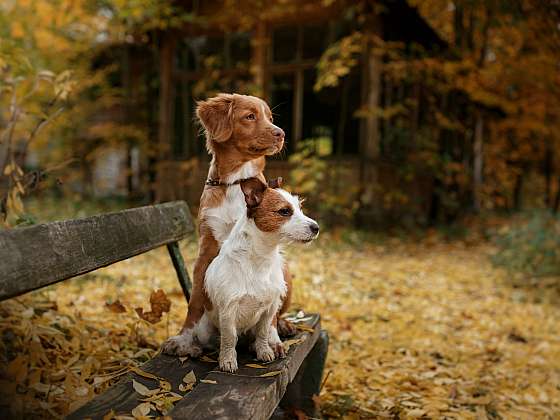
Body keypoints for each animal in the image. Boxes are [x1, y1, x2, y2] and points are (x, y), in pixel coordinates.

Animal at [162, 93, 296, 356]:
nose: (281, 133)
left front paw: (271, 339)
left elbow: (270, 309)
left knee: (278, 310)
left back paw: (282, 326)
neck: (237, 181)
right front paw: (184, 338)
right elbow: (195, 301)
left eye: (270, 117)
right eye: (250, 116)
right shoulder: (206, 249)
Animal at [180, 177, 320, 370]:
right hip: (203, 329)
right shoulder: (228, 311)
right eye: (284, 211)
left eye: (300, 208)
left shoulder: (269, 310)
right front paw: (228, 359)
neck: (259, 259)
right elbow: (229, 338)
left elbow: (263, 332)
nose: (317, 227)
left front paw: (264, 351)